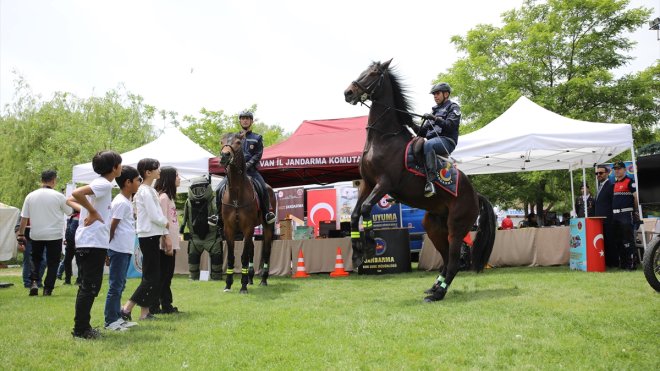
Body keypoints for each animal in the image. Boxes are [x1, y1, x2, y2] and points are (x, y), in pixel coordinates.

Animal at [220, 131, 274, 294]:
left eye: (238, 142)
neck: (236, 194)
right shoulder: (229, 229)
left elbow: (243, 256)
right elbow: (231, 256)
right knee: (251, 250)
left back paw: (263, 280)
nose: (224, 155)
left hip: (267, 227)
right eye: (221, 142)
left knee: (266, 251)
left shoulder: (248, 227)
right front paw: (228, 284)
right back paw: (250, 278)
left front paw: (242, 286)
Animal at [346, 58, 496, 302]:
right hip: (433, 226)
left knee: (454, 261)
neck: (383, 139)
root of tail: (475, 195)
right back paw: (434, 288)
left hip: (457, 227)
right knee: (446, 259)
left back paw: (438, 294)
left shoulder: (384, 183)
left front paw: (369, 246)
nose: (348, 92)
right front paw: (358, 253)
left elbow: (367, 208)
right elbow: (355, 214)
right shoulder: (367, 184)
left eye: (373, 74)